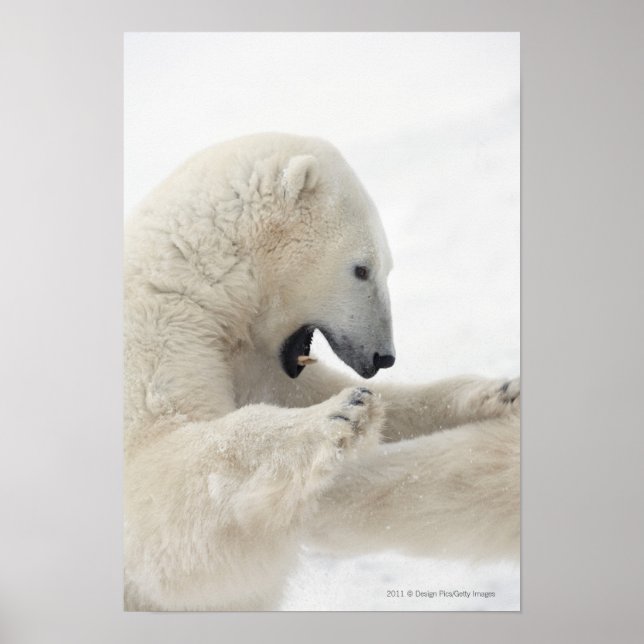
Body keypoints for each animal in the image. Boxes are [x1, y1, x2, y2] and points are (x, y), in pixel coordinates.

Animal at [124, 132, 520, 611]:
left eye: (386, 267)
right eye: (362, 268)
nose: (383, 357)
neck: (193, 279)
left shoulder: (253, 362)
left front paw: (496, 392)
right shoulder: (154, 333)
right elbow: (157, 485)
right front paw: (339, 415)